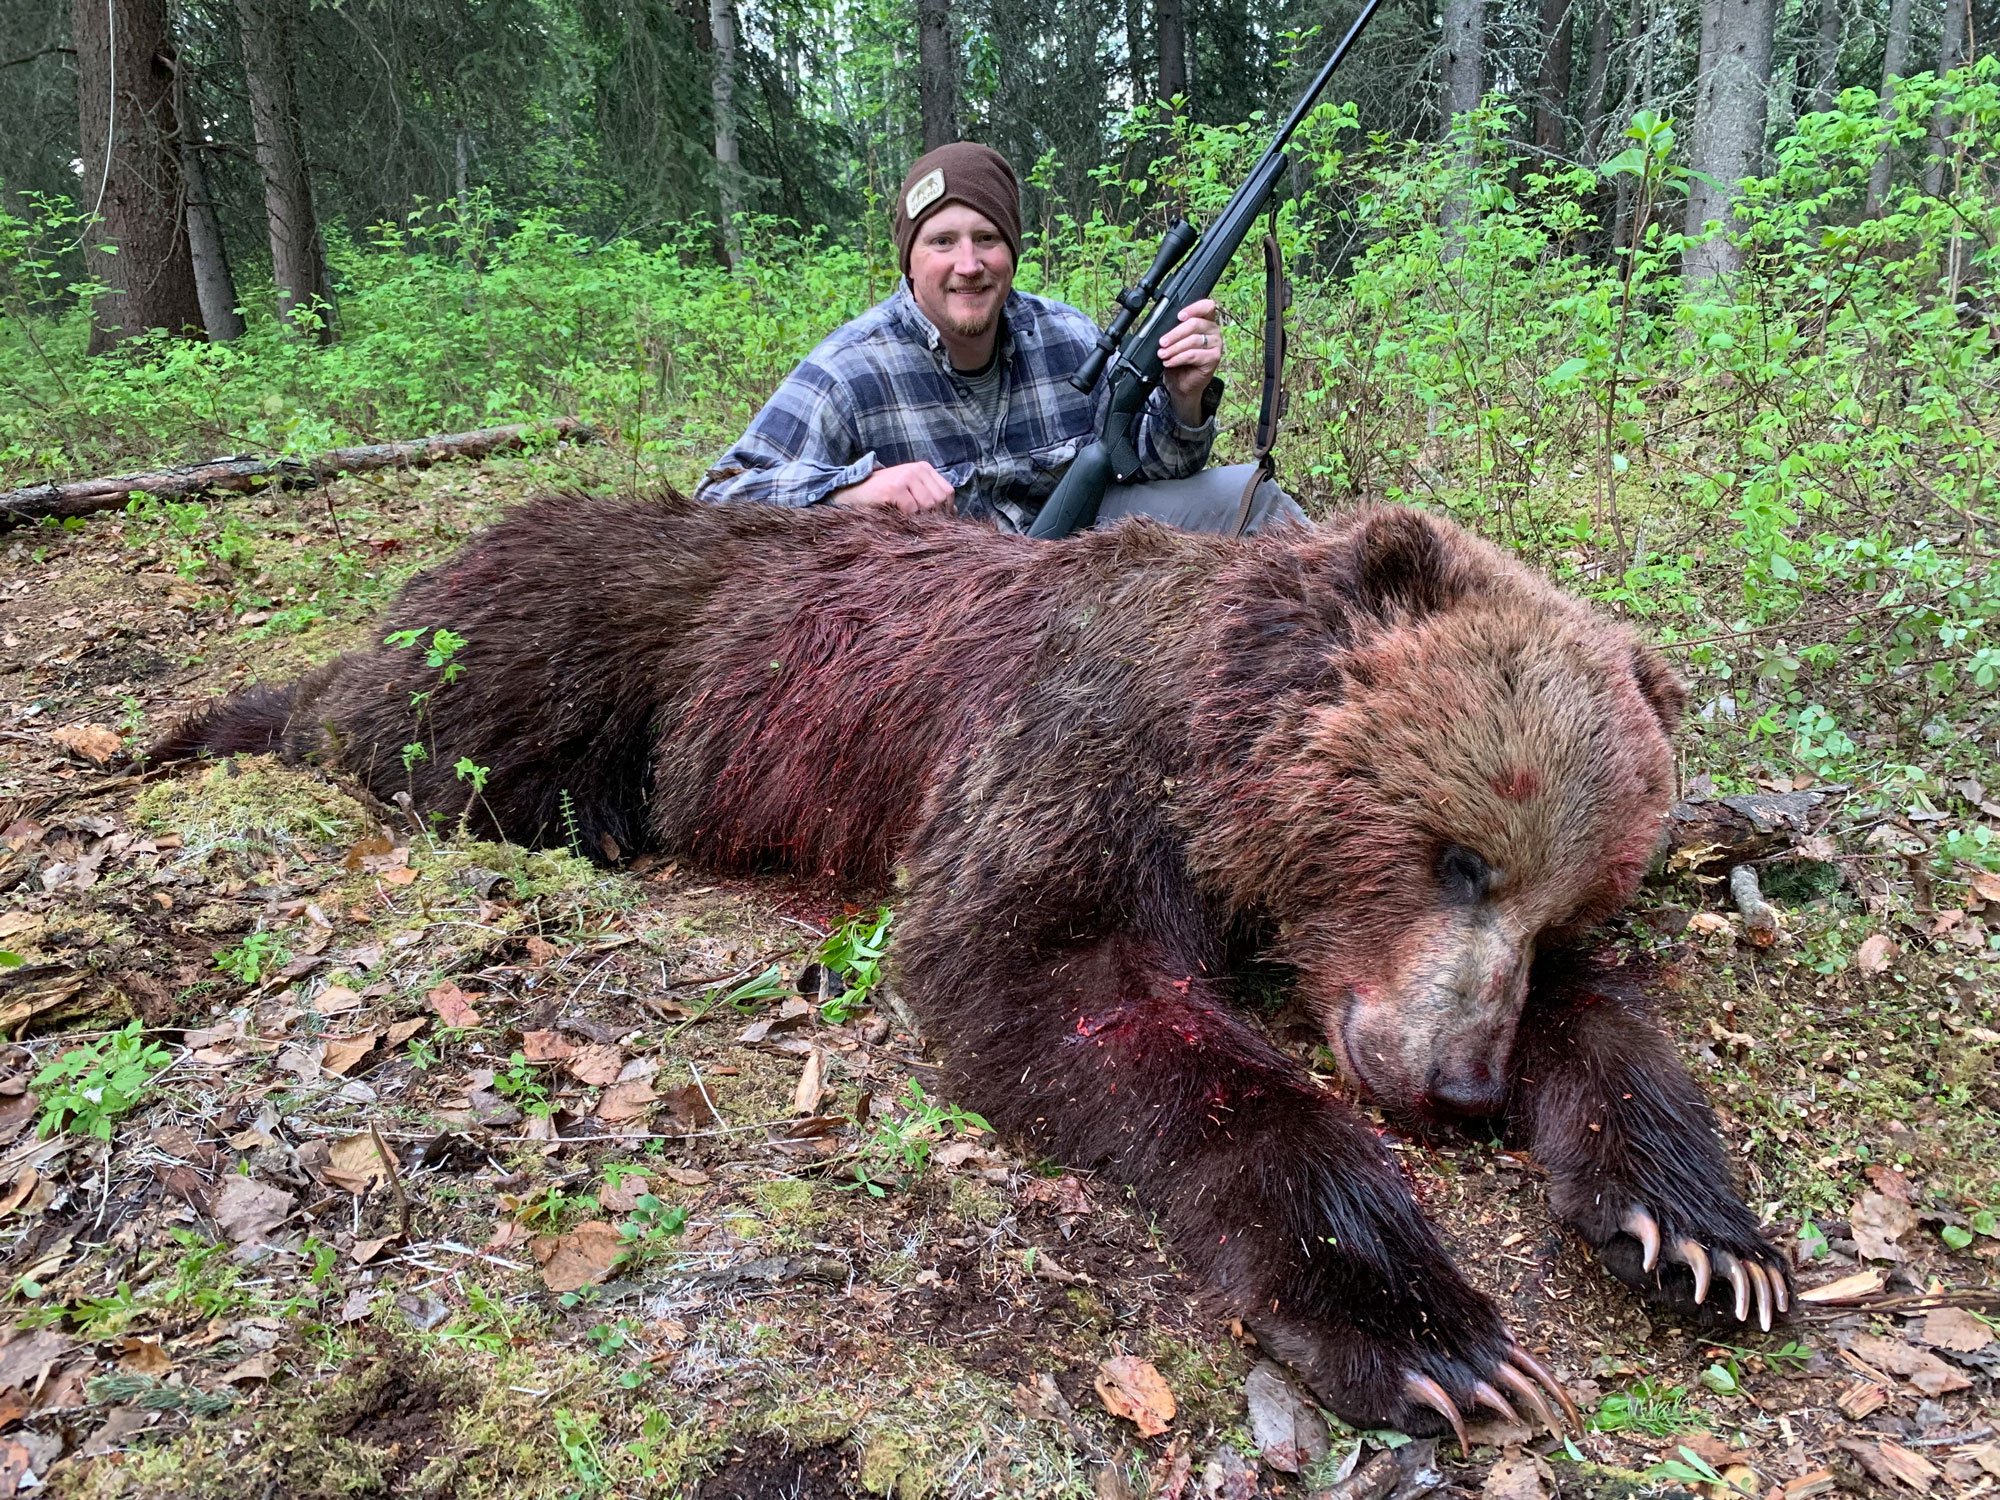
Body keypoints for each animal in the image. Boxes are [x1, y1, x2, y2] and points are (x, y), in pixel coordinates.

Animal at [153, 491, 1791, 1444]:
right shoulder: (1076, 762)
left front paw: (1703, 1234)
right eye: (1457, 853)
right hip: (590, 649)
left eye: (1566, 901)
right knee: (413, 734)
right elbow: (1056, 979)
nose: (1454, 1084)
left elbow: (1610, 1029)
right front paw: (1424, 1325)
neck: (1218, 754)